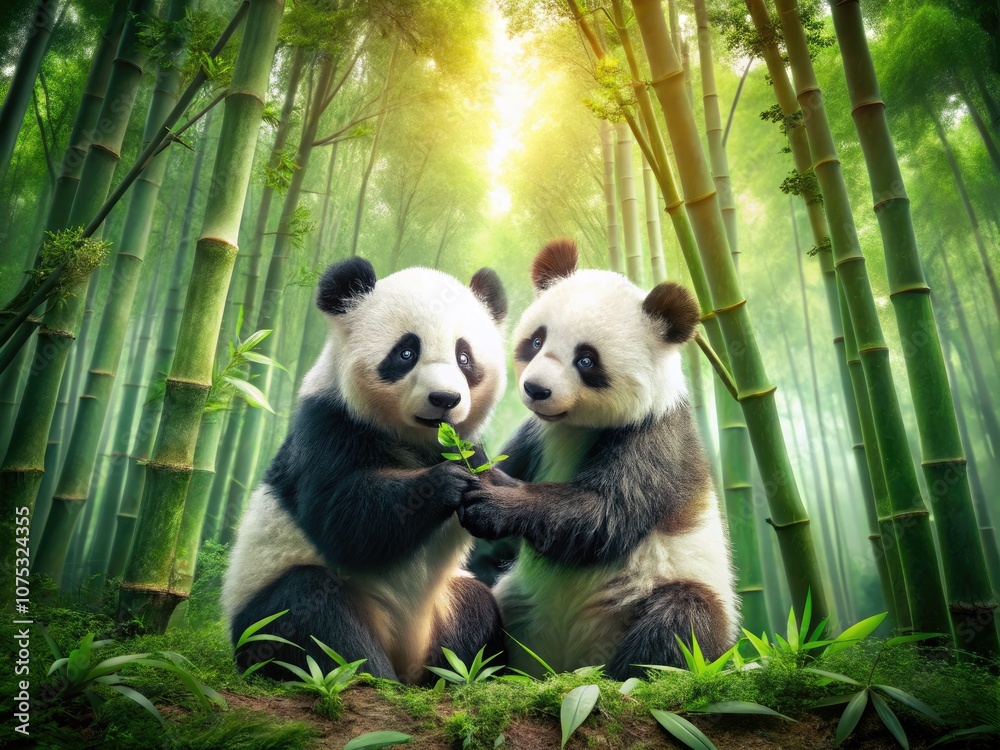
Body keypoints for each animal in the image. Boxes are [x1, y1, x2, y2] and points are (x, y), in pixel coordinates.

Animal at [222, 258, 509, 684]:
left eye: (464, 357)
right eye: (406, 352)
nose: (445, 399)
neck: (416, 439)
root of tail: (406, 655)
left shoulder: (470, 446)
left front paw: (491, 500)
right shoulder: (328, 425)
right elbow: (343, 519)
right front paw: (446, 483)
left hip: (445, 606)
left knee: (476, 613)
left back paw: (457, 677)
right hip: (268, 610)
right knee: (314, 618)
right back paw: (369, 676)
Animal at [458, 239, 739, 679]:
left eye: (586, 360)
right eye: (537, 341)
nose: (536, 389)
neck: (573, 426)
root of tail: (568, 662)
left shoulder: (653, 436)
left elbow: (604, 514)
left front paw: (491, 499)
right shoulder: (537, 436)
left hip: (672, 598)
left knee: (681, 620)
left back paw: (629, 674)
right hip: (518, 606)